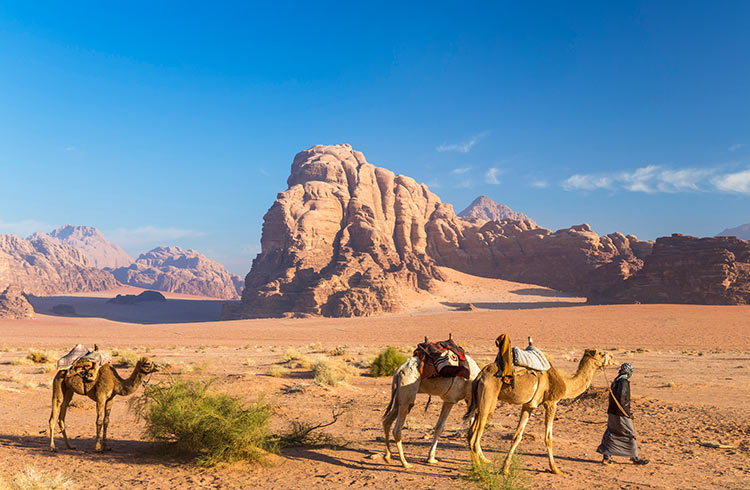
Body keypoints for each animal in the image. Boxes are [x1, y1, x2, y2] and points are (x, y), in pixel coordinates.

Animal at [468, 346, 612, 476]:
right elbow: (548, 437)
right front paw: (555, 469)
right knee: (475, 439)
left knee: (470, 434)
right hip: (488, 399)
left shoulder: (528, 406)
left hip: (479, 404)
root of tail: (480, 375)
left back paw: (475, 469)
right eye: (601, 353)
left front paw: (505, 469)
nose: (611, 359)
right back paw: (480, 473)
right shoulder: (552, 403)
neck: (565, 384)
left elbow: (517, 435)